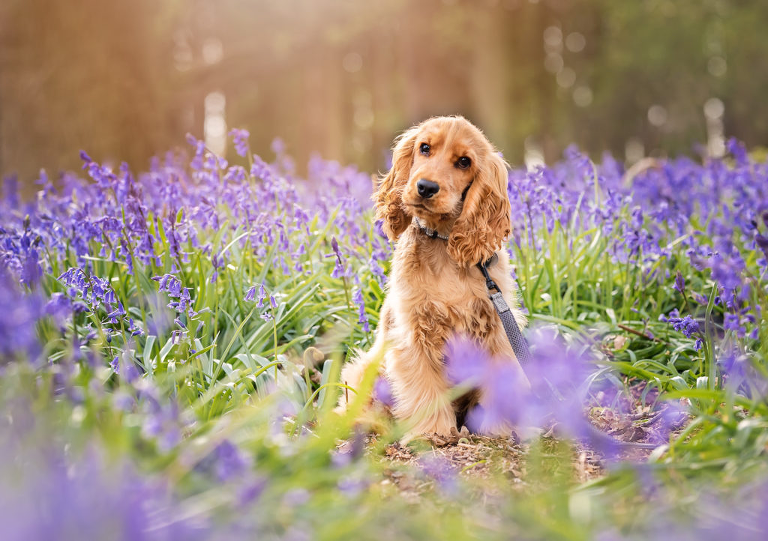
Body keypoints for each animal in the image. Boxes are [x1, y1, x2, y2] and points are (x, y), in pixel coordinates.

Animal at [338, 115, 524, 438]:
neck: (443, 242)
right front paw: (434, 432)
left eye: (464, 162)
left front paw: (496, 428)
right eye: (424, 148)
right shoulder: (414, 333)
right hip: (364, 371)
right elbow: (425, 387)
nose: (425, 187)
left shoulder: (497, 331)